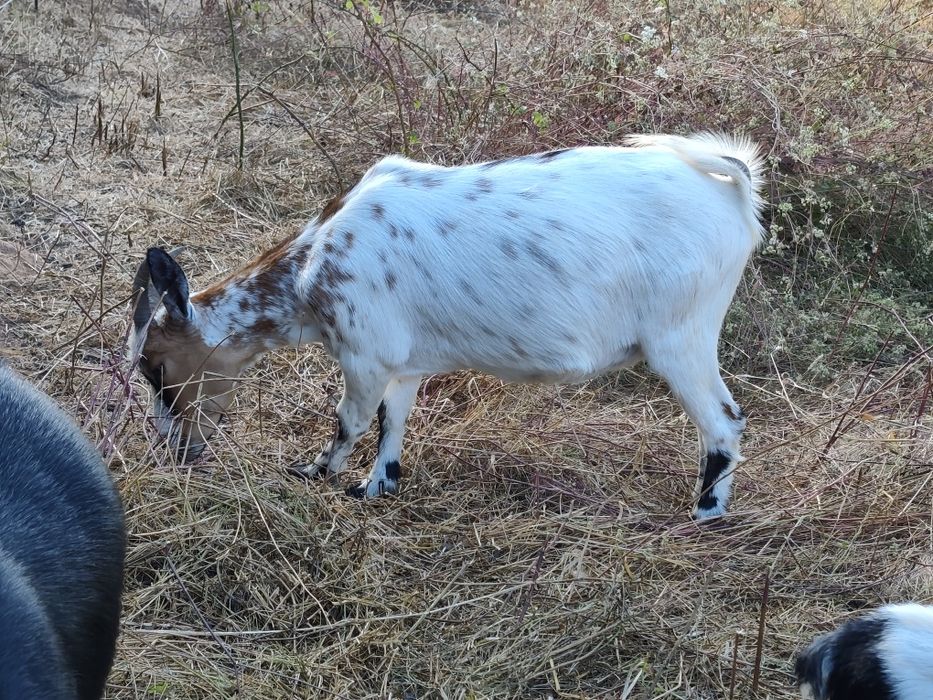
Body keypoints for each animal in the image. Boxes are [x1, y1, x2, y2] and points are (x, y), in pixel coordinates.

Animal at [131, 132, 765, 519]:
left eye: (154, 367)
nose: (176, 450)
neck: (314, 264)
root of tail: (730, 186)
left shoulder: (363, 353)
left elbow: (350, 421)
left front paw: (315, 472)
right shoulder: (402, 361)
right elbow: (392, 419)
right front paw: (377, 485)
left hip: (681, 337)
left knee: (724, 421)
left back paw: (705, 512)